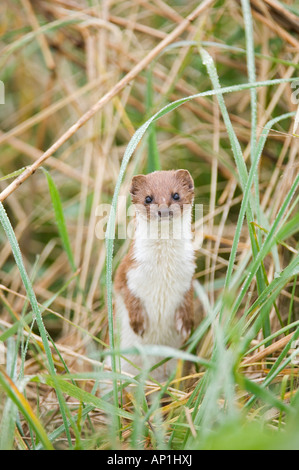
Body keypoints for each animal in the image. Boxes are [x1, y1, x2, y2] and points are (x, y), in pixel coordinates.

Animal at [112, 171, 195, 384]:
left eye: (176, 195)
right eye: (148, 198)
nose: (163, 210)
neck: (162, 270)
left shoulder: (188, 275)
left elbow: (187, 299)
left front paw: (185, 324)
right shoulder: (127, 271)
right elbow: (128, 294)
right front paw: (138, 323)